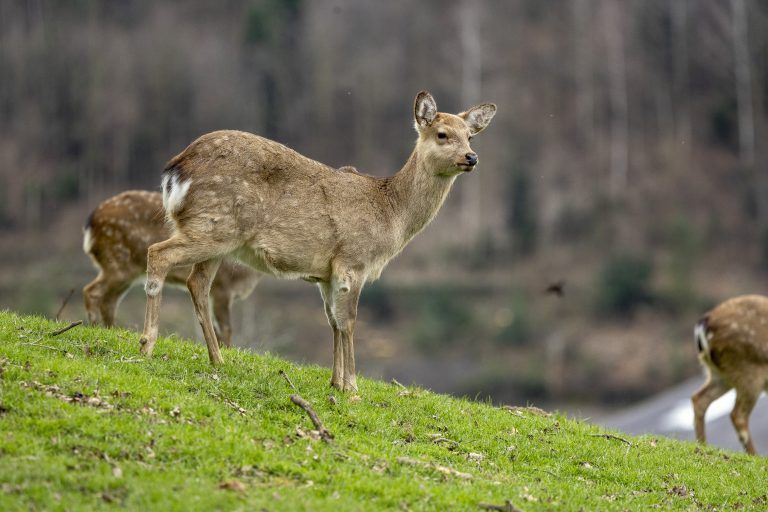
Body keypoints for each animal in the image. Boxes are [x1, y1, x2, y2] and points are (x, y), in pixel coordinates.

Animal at [83, 190, 260, 347]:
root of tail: (91, 222)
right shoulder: (222, 287)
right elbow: (225, 329)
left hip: (125, 271)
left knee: (109, 300)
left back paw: (109, 330)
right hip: (118, 263)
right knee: (92, 291)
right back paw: (95, 328)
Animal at [138, 91, 496, 392]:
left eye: (470, 135)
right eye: (442, 134)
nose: (472, 157)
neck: (389, 215)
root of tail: (176, 170)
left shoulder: (325, 273)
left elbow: (333, 321)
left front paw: (335, 383)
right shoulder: (353, 260)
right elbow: (349, 321)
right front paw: (352, 387)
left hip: (216, 236)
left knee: (197, 283)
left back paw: (217, 358)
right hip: (213, 225)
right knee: (158, 254)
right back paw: (147, 344)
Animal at [692, 294, 768, 454]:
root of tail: (703, 325)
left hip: (720, 374)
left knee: (699, 399)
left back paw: (702, 445)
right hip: (749, 371)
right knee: (737, 415)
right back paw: (754, 456)